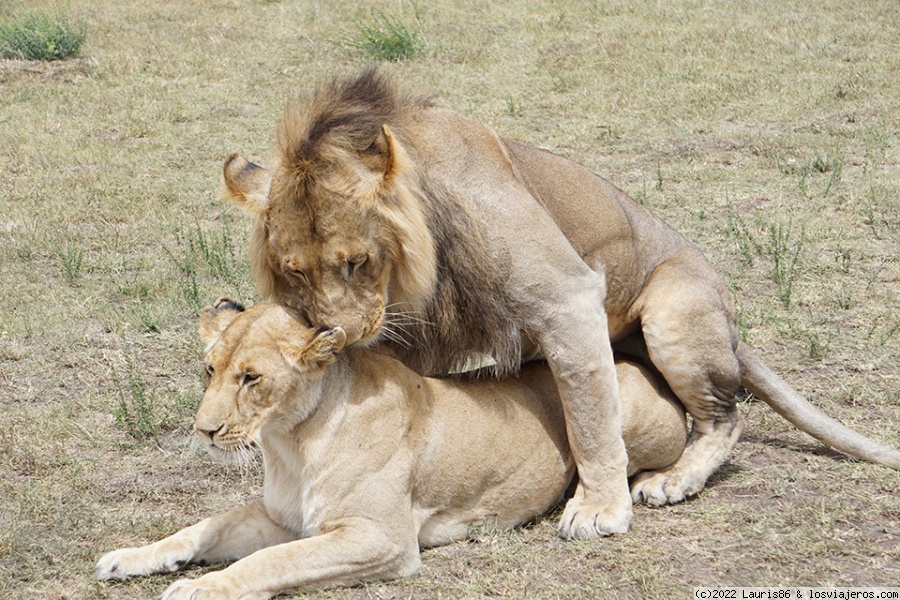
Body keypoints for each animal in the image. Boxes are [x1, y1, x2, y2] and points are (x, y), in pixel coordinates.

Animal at [96, 300, 688, 599]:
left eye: (251, 378)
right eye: (210, 370)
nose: (204, 430)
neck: (289, 442)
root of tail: (633, 359)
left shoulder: (380, 537)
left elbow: (273, 561)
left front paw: (201, 589)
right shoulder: (281, 517)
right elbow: (203, 529)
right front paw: (130, 557)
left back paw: (658, 484)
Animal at [220, 69, 900, 538]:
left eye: (356, 261)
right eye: (293, 272)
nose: (339, 334)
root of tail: (733, 327)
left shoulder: (567, 297)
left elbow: (590, 415)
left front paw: (599, 508)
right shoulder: (411, 331)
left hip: (675, 309)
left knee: (726, 416)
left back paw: (673, 480)